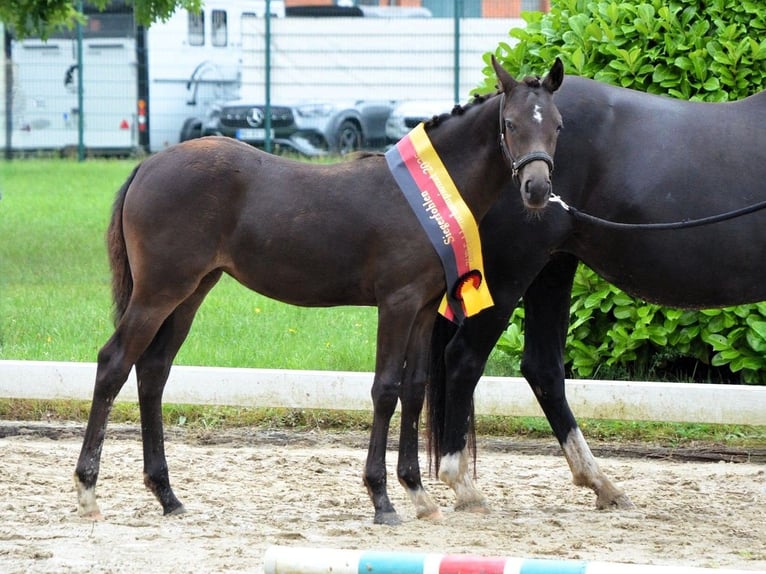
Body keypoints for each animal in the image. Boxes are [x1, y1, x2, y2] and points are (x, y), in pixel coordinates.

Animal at [73, 57, 565, 526]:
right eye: (510, 124)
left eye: (557, 125)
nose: (538, 188)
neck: (426, 196)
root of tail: (147, 165)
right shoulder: (397, 303)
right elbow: (386, 389)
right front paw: (381, 499)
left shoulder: (425, 308)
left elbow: (415, 389)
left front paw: (418, 493)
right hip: (159, 293)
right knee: (114, 363)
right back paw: (87, 490)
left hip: (190, 293)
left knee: (153, 371)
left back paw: (167, 495)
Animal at [427, 73, 766, 513]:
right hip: (511, 269)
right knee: (464, 358)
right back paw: (463, 485)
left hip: (552, 266)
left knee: (543, 368)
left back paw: (600, 483)